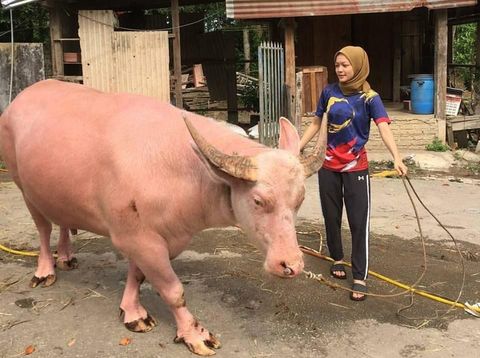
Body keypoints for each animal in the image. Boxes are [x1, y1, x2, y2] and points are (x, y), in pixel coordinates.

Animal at [0, 79, 326, 356]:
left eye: (300, 200)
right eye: (258, 201)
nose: (292, 265)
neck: (184, 170)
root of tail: (23, 97)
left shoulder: (158, 238)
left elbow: (138, 274)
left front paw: (131, 311)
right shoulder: (136, 238)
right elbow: (173, 290)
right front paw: (194, 334)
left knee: (63, 221)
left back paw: (66, 256)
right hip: (25, 188)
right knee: (43, 228)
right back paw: (45, 271)